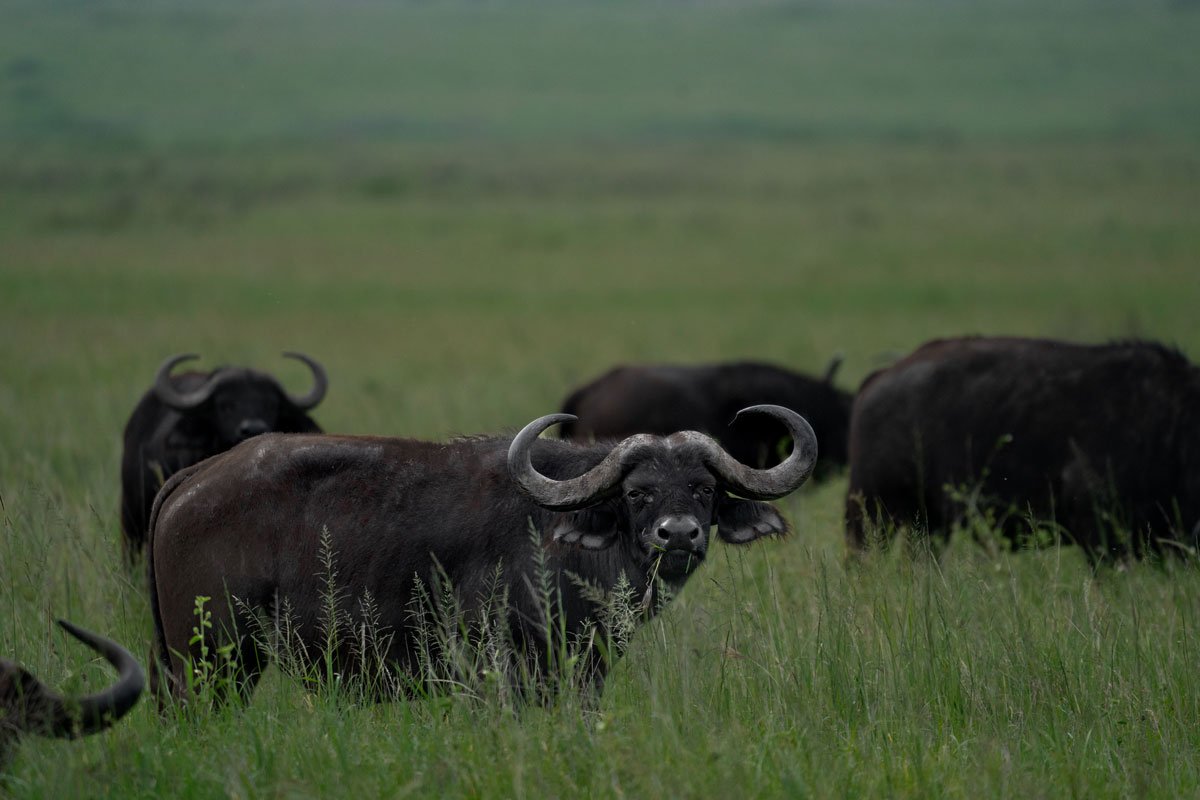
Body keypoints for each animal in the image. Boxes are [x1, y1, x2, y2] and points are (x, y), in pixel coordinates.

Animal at [147, 405, 817, 705]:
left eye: (704, 490)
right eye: (637, 492)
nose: (677, 535)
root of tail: (195, 478)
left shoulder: (587, 674)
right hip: (210, 661)